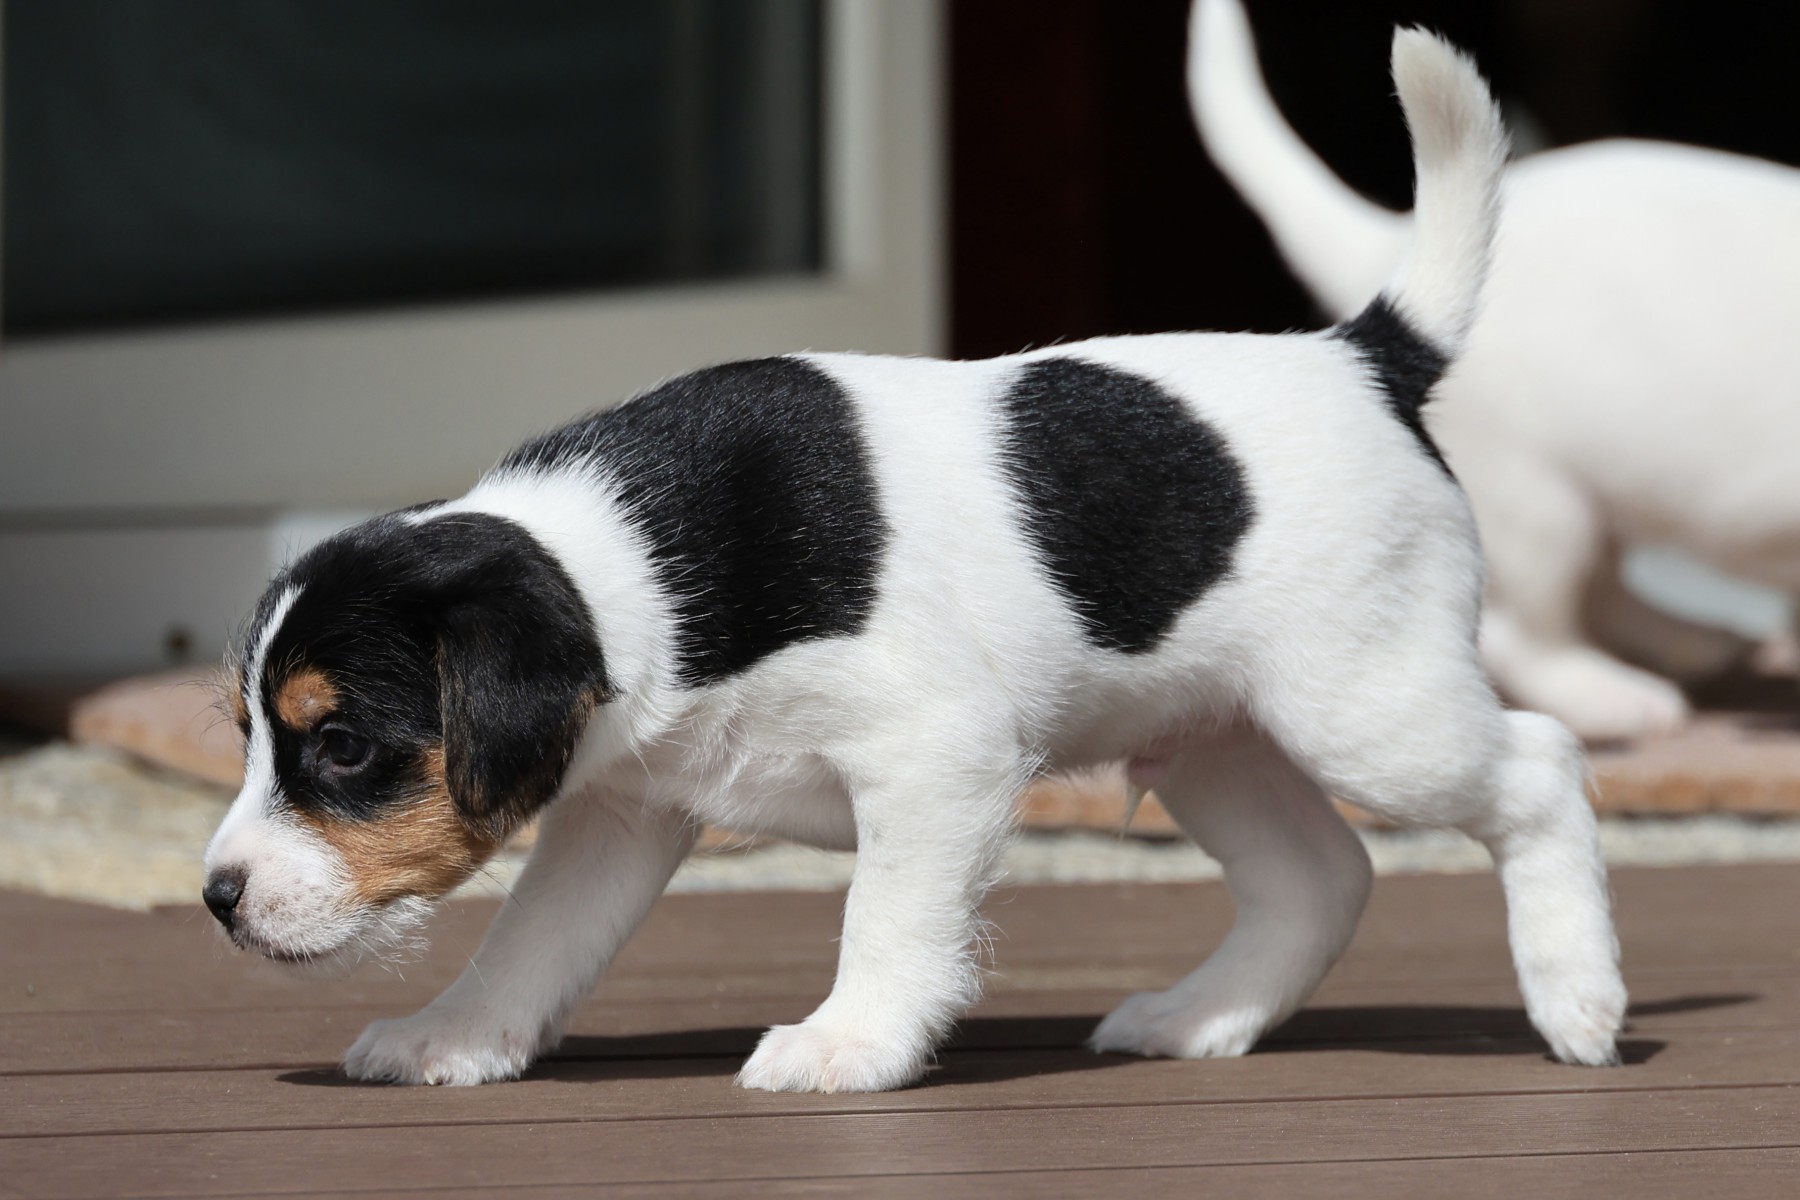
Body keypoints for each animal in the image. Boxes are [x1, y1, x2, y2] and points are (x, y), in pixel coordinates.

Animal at [201, 24, 1625, 1093]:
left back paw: (1578, 998)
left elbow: (885, 919)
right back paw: (1197, 1017)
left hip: (1368, 711)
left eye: (340, 745)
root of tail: (1365, 354)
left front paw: (852, 1044)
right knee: (1321, 878)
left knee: (1538, 766)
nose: (215, 898)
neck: (631, 563)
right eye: (253, 735)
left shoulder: (935, 758)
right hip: (1211, 737)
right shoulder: (618, 814)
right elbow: (530, 942)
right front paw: (458, 1035)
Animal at [1192, 0, 1800, 742]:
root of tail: (1384, 244)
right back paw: (1613, 696)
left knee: (1604, 589)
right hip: (1537, 505)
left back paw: (1697, 640)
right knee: (1529, 633)